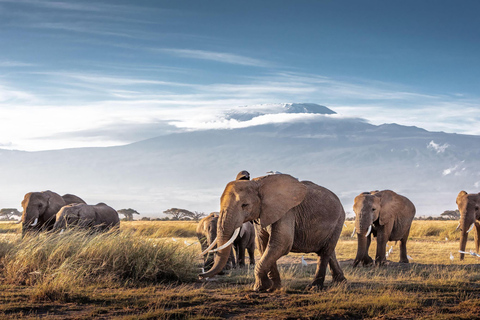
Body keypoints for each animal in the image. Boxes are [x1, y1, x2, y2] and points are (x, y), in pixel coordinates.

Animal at [198, 174, 344, 292]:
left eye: (245, 205)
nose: (200, 275)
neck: (257, 183)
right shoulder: (262, 214)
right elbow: (263, 244)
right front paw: (274, 288)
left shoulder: (287, 211)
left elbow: (281, 243)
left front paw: (259, 288)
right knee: (329, 251)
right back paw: (340, 282)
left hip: (339, 220)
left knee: (324, 253)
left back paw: (314, 288)